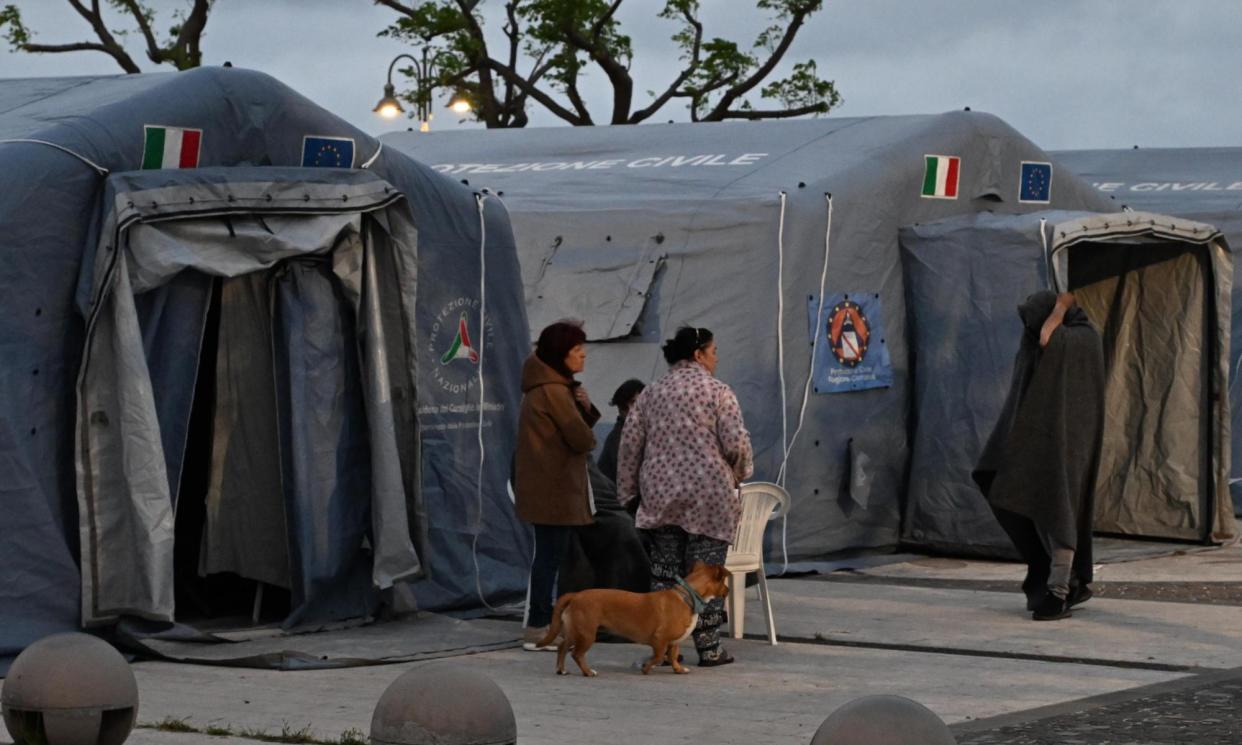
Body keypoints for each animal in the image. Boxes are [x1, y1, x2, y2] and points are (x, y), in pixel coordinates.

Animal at [531, 561, 725, 680]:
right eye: (724, 582)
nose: (728, 590)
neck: (687, 596)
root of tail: (576, 595)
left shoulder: (674, 641)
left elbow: (673, 656)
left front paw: (678, 669)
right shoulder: (659, 640)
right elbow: (658, 656)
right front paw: (646, 668)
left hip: (574, 632)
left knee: (562, 648)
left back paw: (561, 669)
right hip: (586, 635)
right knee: (576, 654)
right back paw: (588, 672)